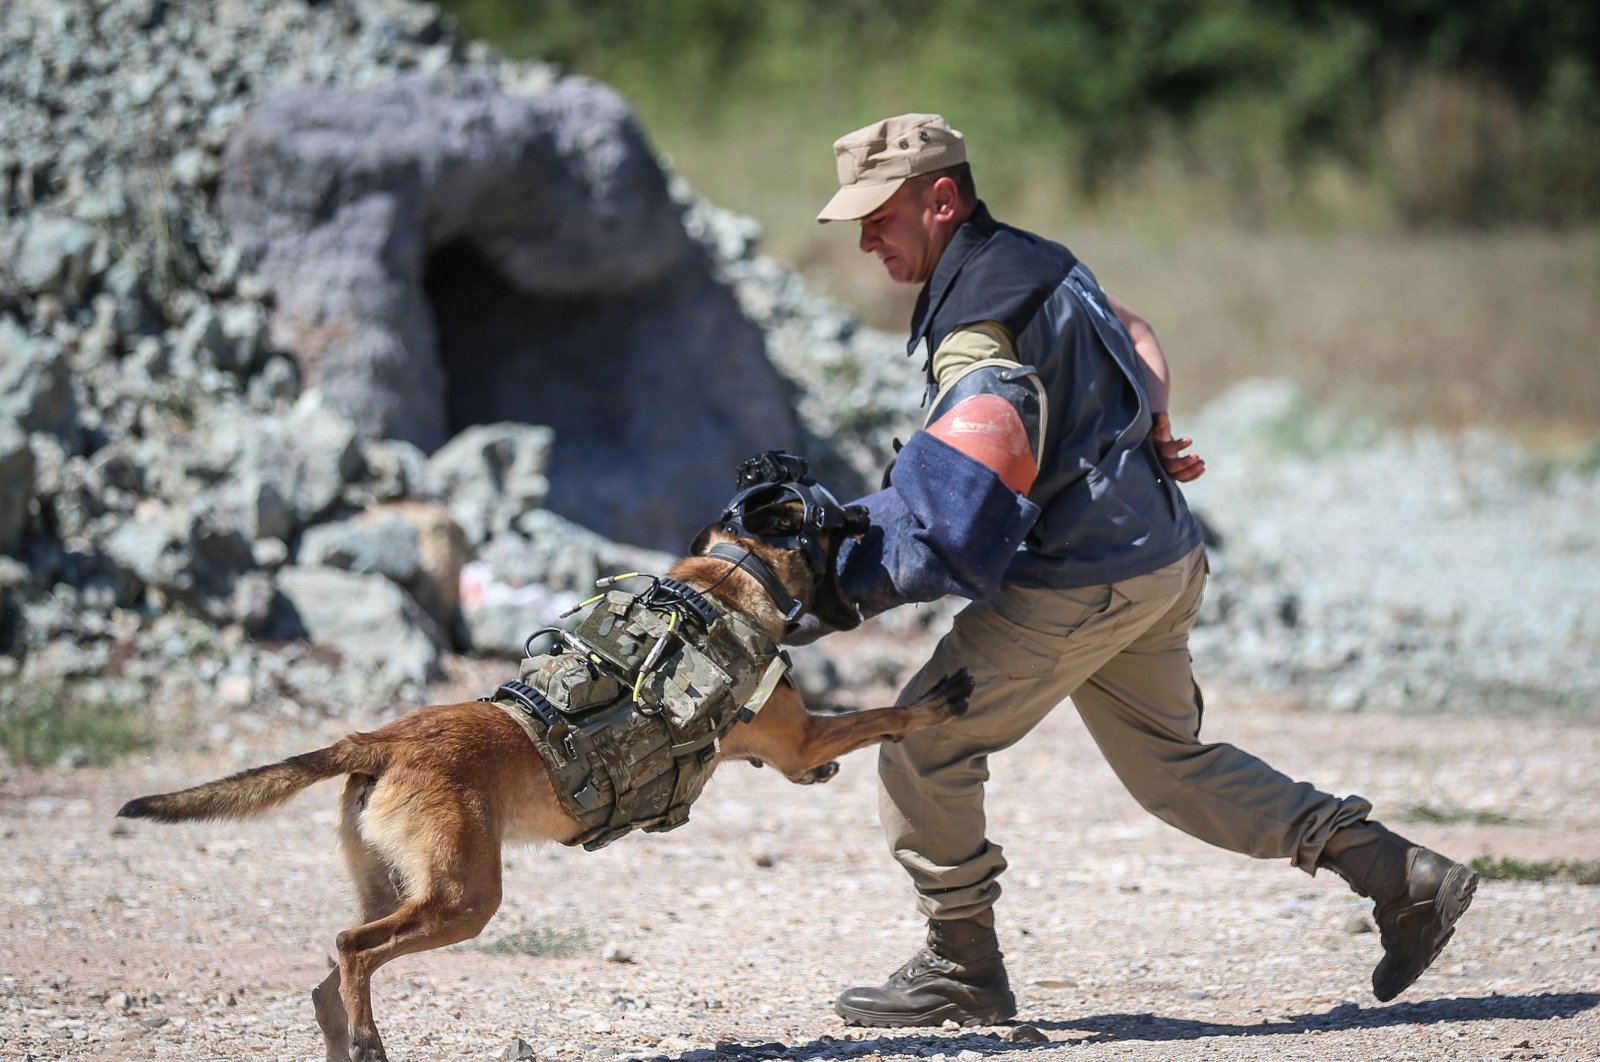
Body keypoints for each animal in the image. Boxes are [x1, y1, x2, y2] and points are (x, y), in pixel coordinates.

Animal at [118, 460, 966, 1062]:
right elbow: (886, 713)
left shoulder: (793, 748)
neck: (726, 579)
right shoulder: (803, 740)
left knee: (332, 980)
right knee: (352, 952)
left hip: (395, 884)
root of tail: (381, 740)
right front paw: (938, 700)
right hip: (463, 899)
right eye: (840, 523)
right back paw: (368, 1040)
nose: (881, 527)